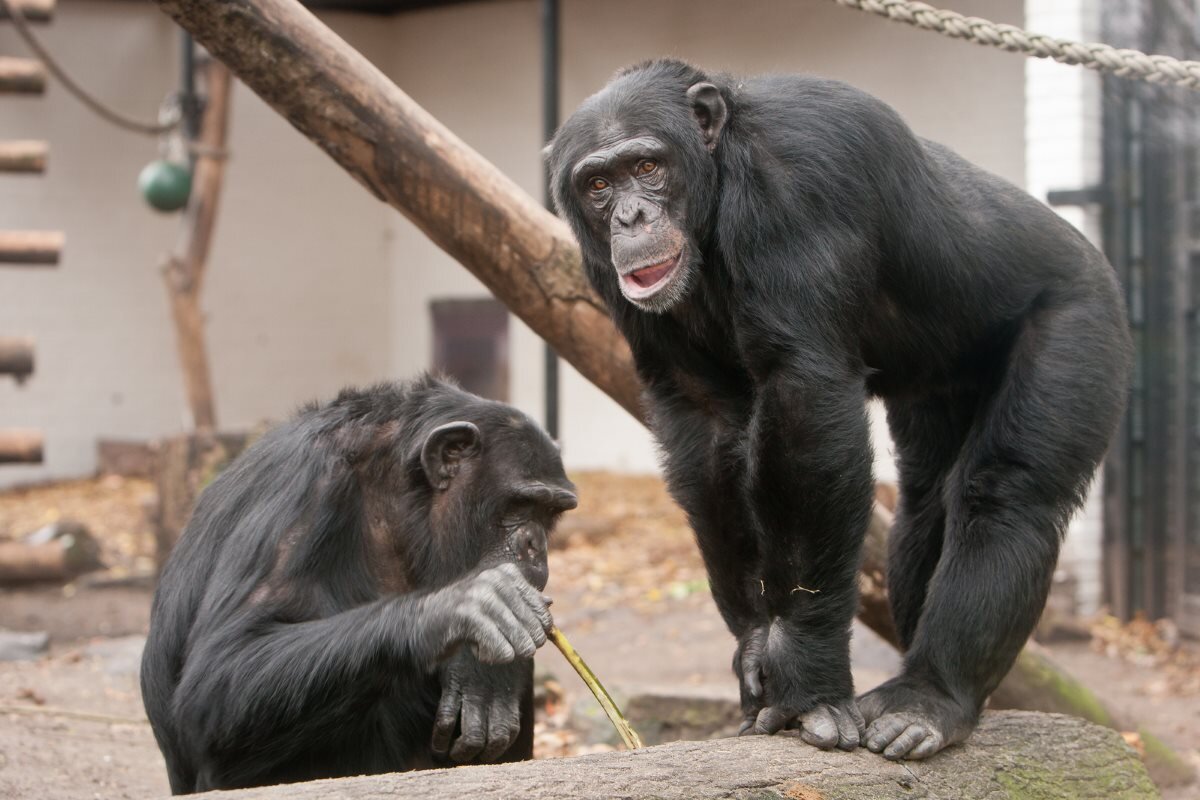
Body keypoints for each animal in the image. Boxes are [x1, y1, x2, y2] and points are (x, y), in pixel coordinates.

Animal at [138, 376, 578, 796]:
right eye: (520, 504)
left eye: (551, 512)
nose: (536, 545)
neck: (402, 502)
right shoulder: (306, 487)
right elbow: (220, 669)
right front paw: (469, 610)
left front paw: (488, 675)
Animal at [549, 59, 1128, 762]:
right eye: (599, 184)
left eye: (647, 166)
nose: (630, 216)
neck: (719, 181)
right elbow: (705, 424)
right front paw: (756, 646)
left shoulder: (797, 185)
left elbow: (805, 397)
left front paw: (805, 676)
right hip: (942, 384)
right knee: (924, 508)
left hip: (1084, 317)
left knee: (1008, 493)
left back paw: (931, 698)